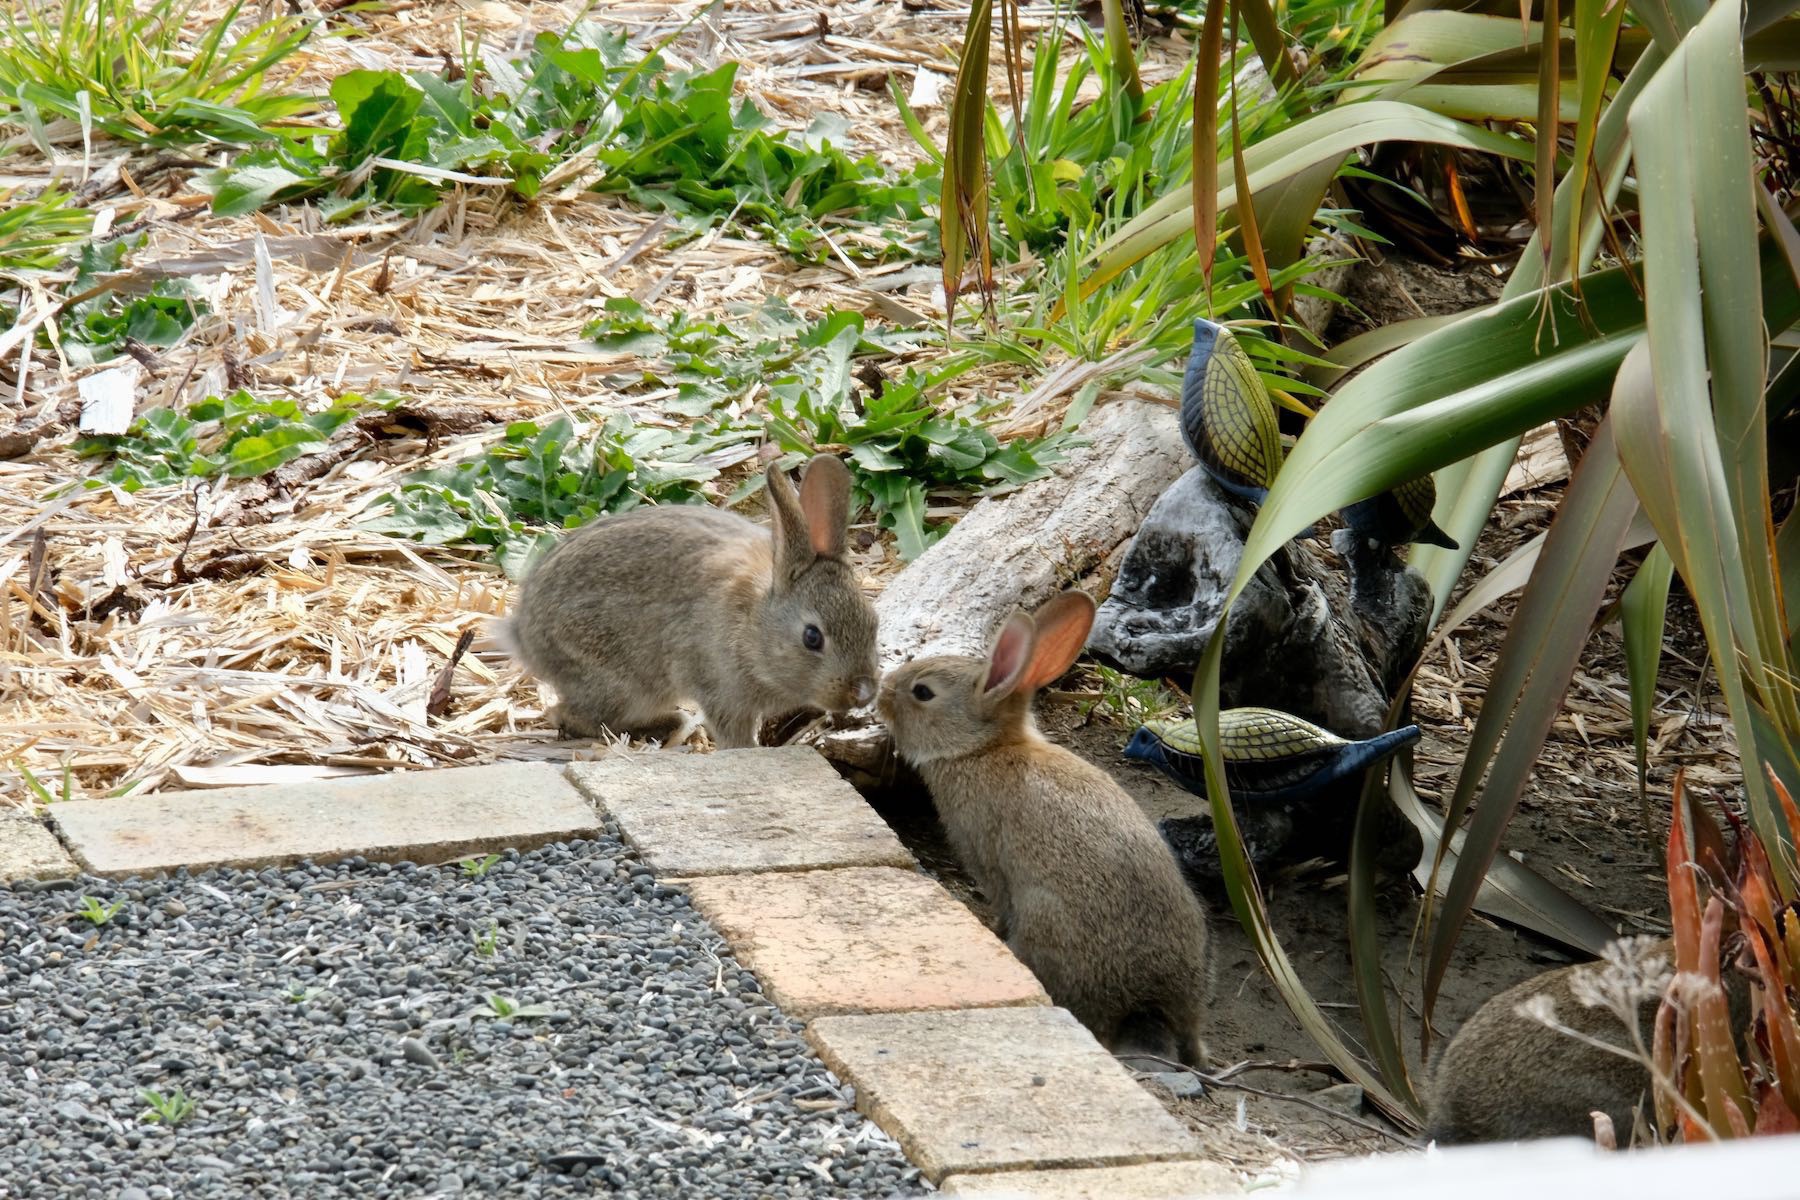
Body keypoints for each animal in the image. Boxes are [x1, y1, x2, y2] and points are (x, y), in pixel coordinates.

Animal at [500, 453, 878, 752]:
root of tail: (523, 633)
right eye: (812, 637)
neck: (754, 625)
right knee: (569, 715)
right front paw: (747, 751)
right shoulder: (720, 689)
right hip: (616, 680)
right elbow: (734, 736)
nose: (863, 692)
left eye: (873, 623)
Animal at [882, 590, 1216, 1072]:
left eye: (922, 693)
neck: (981, 749)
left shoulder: (986, 858)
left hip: (1044, 918)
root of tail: (1147, 1003)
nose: (881, 691)